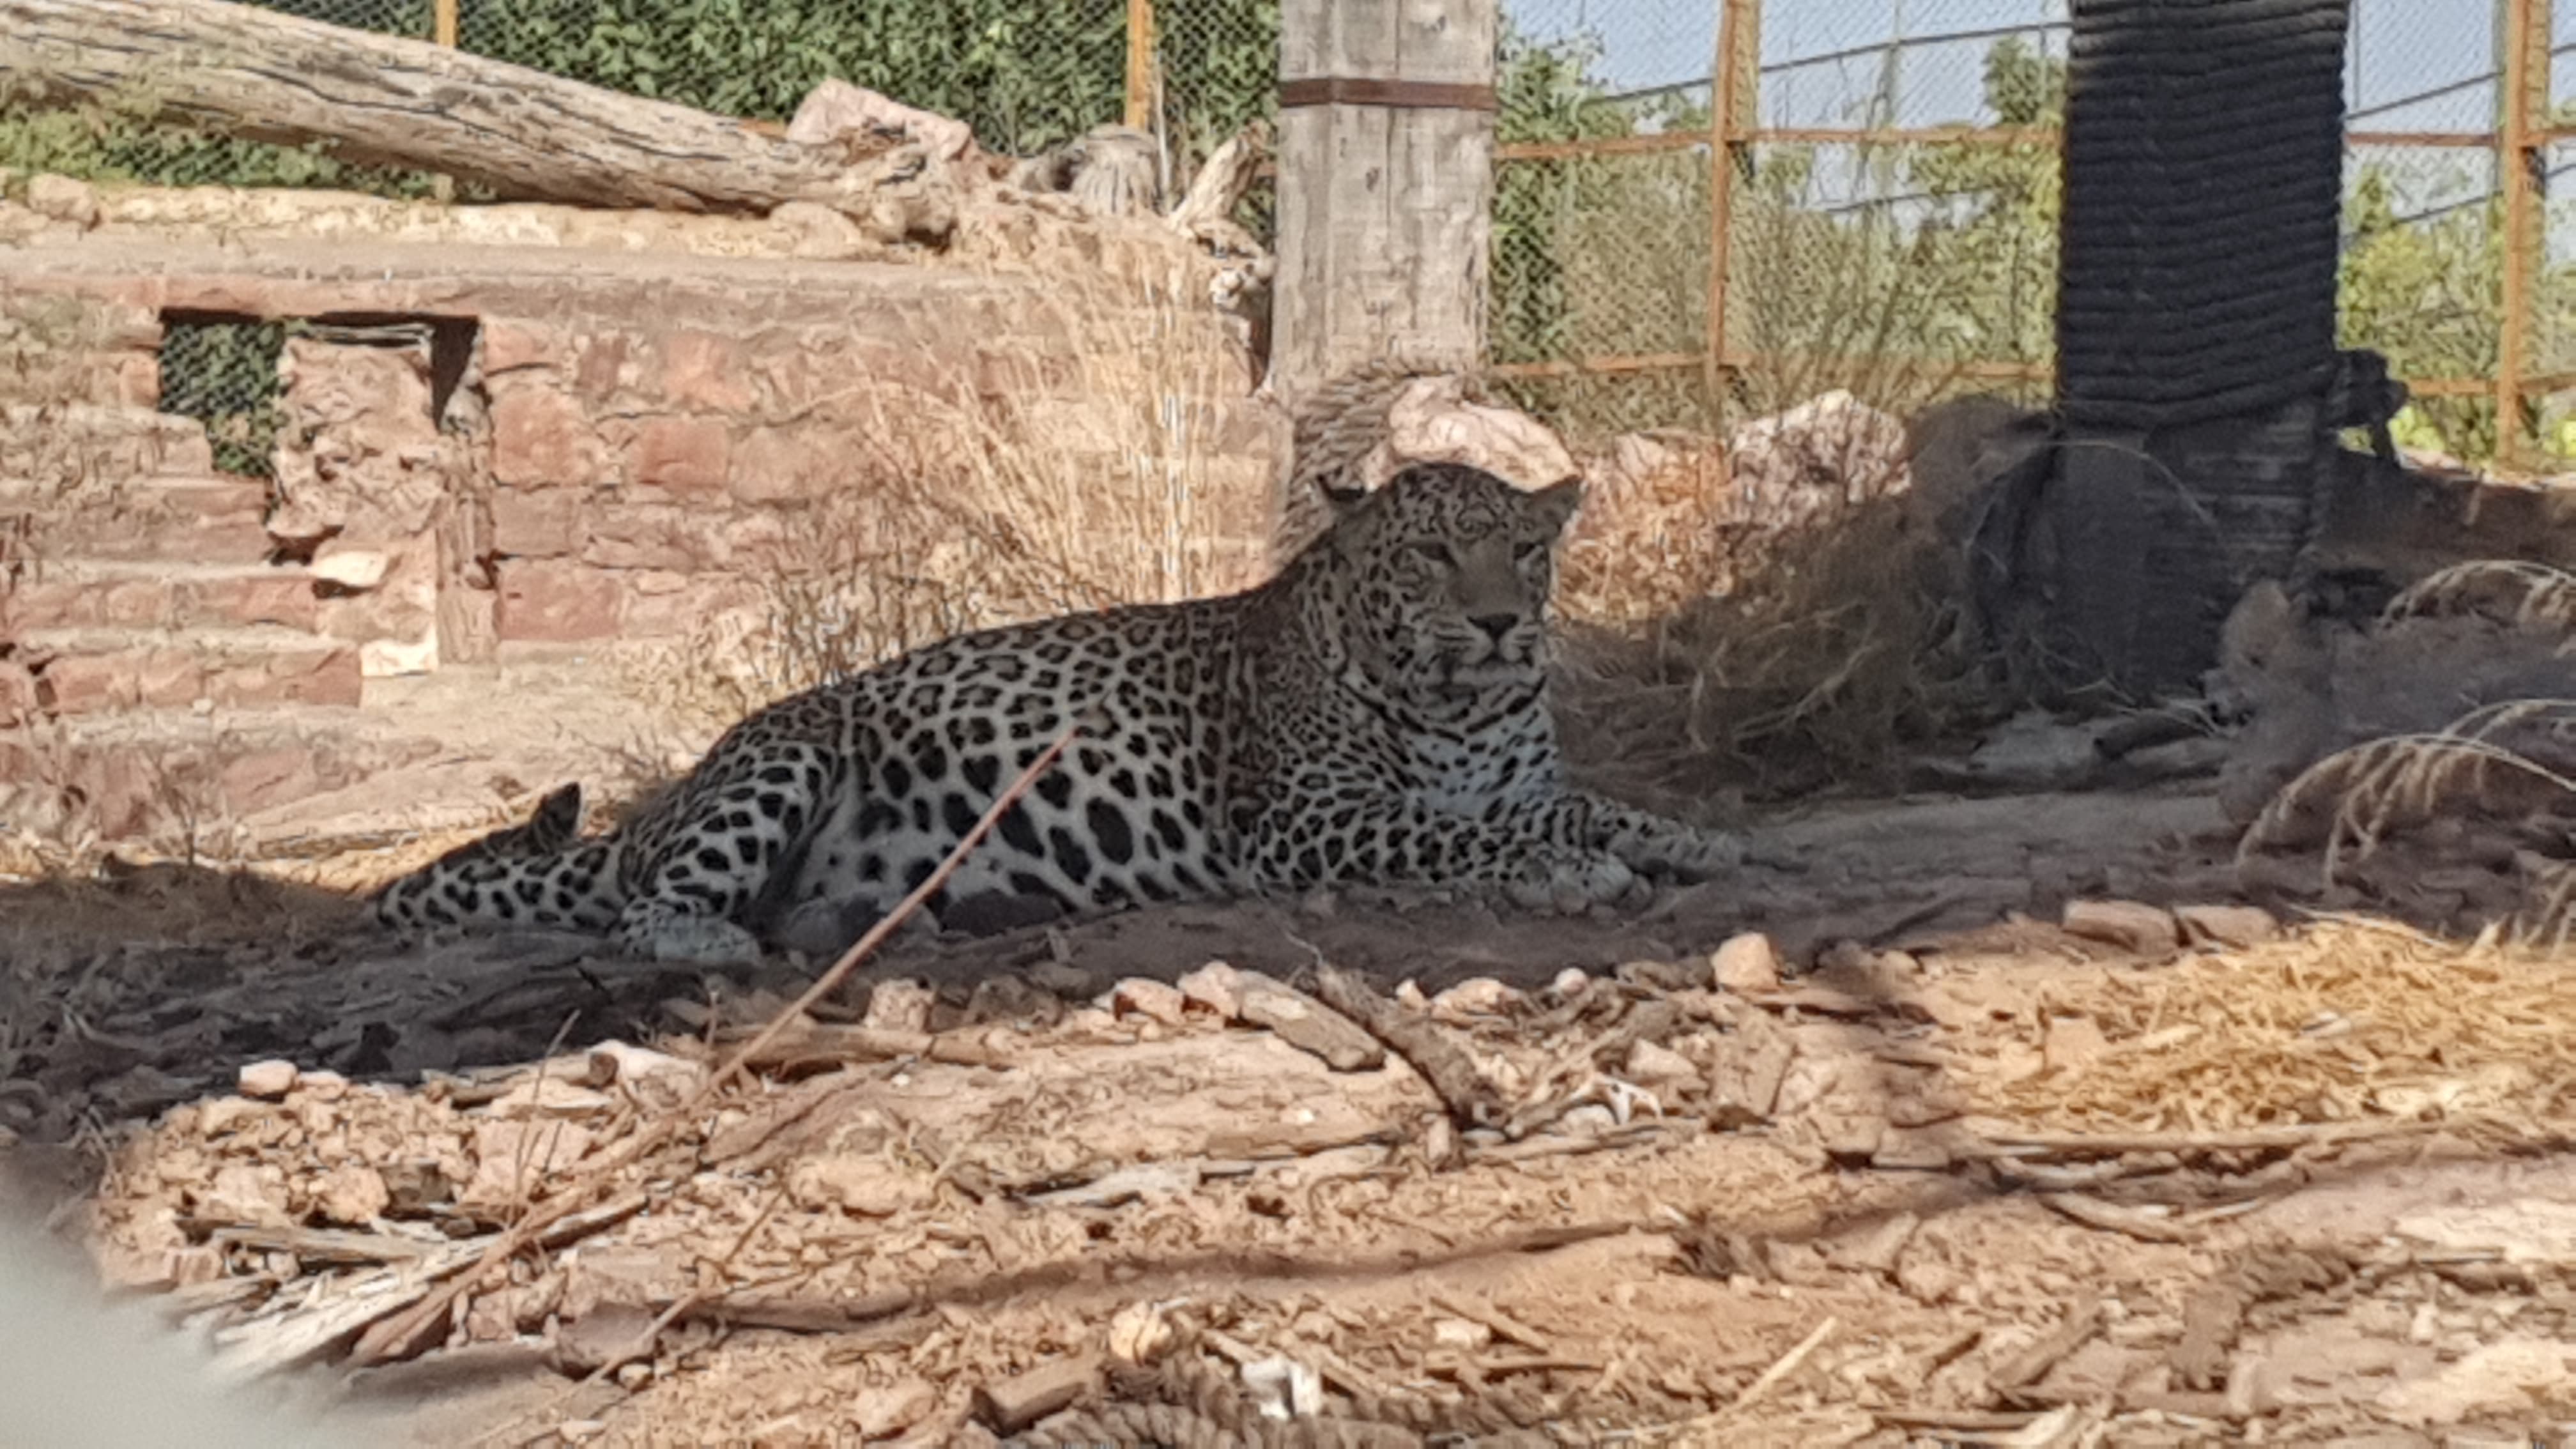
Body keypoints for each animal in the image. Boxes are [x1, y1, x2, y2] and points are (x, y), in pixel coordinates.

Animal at [373, 459, 1741, 959]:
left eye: (1526, 550)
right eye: (1433, 556)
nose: (1504, 623)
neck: (1463, 705)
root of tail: (647, 820)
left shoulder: (1511, 772)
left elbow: (1576, 803)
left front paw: (1687, 836)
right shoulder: (1305, 818)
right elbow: (1479, 829)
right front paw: (1575, 868)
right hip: (782, 755)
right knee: (642, 912)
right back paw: (711, 939)